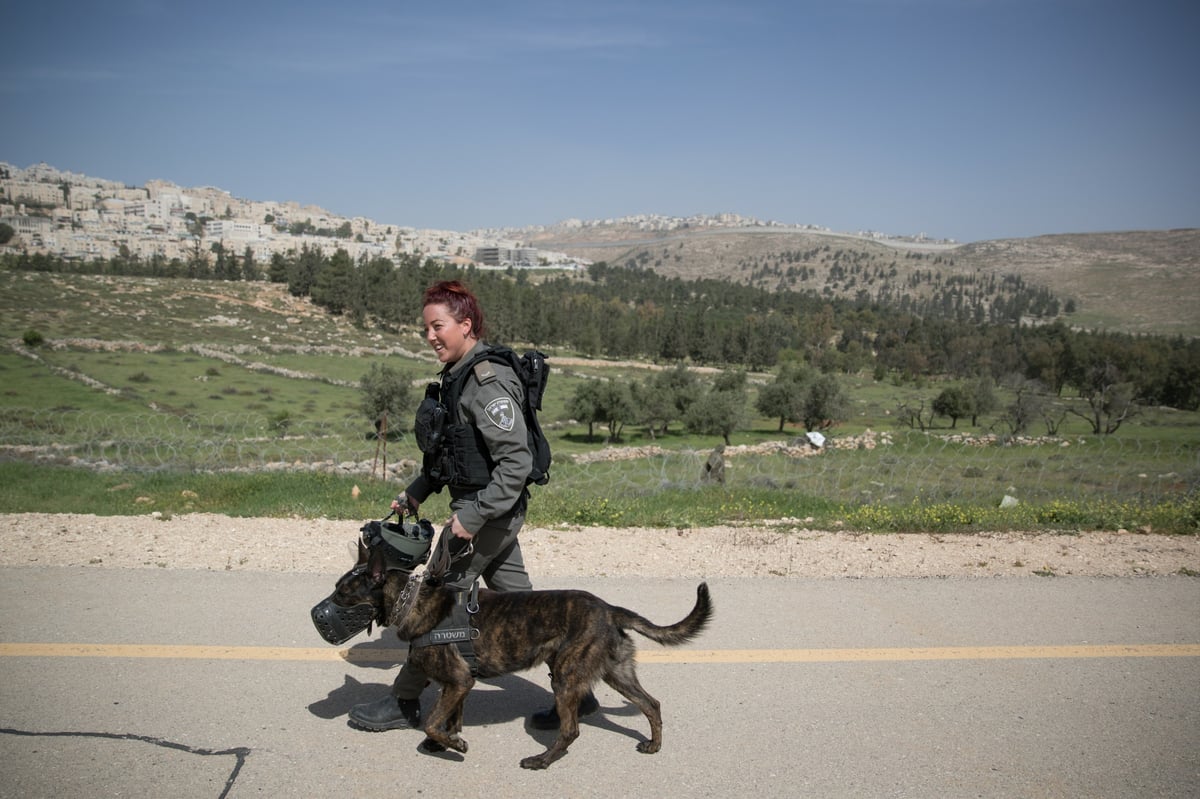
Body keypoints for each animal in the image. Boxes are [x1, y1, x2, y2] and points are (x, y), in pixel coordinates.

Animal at [324, 535, 710, 767]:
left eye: (342, 594)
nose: (318, 615)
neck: (413, 602)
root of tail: (609, 608)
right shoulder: (459, 685)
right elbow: (450, 720)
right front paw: (447, 742)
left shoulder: (459, 680)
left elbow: (432, 723)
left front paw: (454, 746)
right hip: (615, 672)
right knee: (651, 704)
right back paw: (654, 745)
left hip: (566, 676)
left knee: (571, 730)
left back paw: (542, 760)